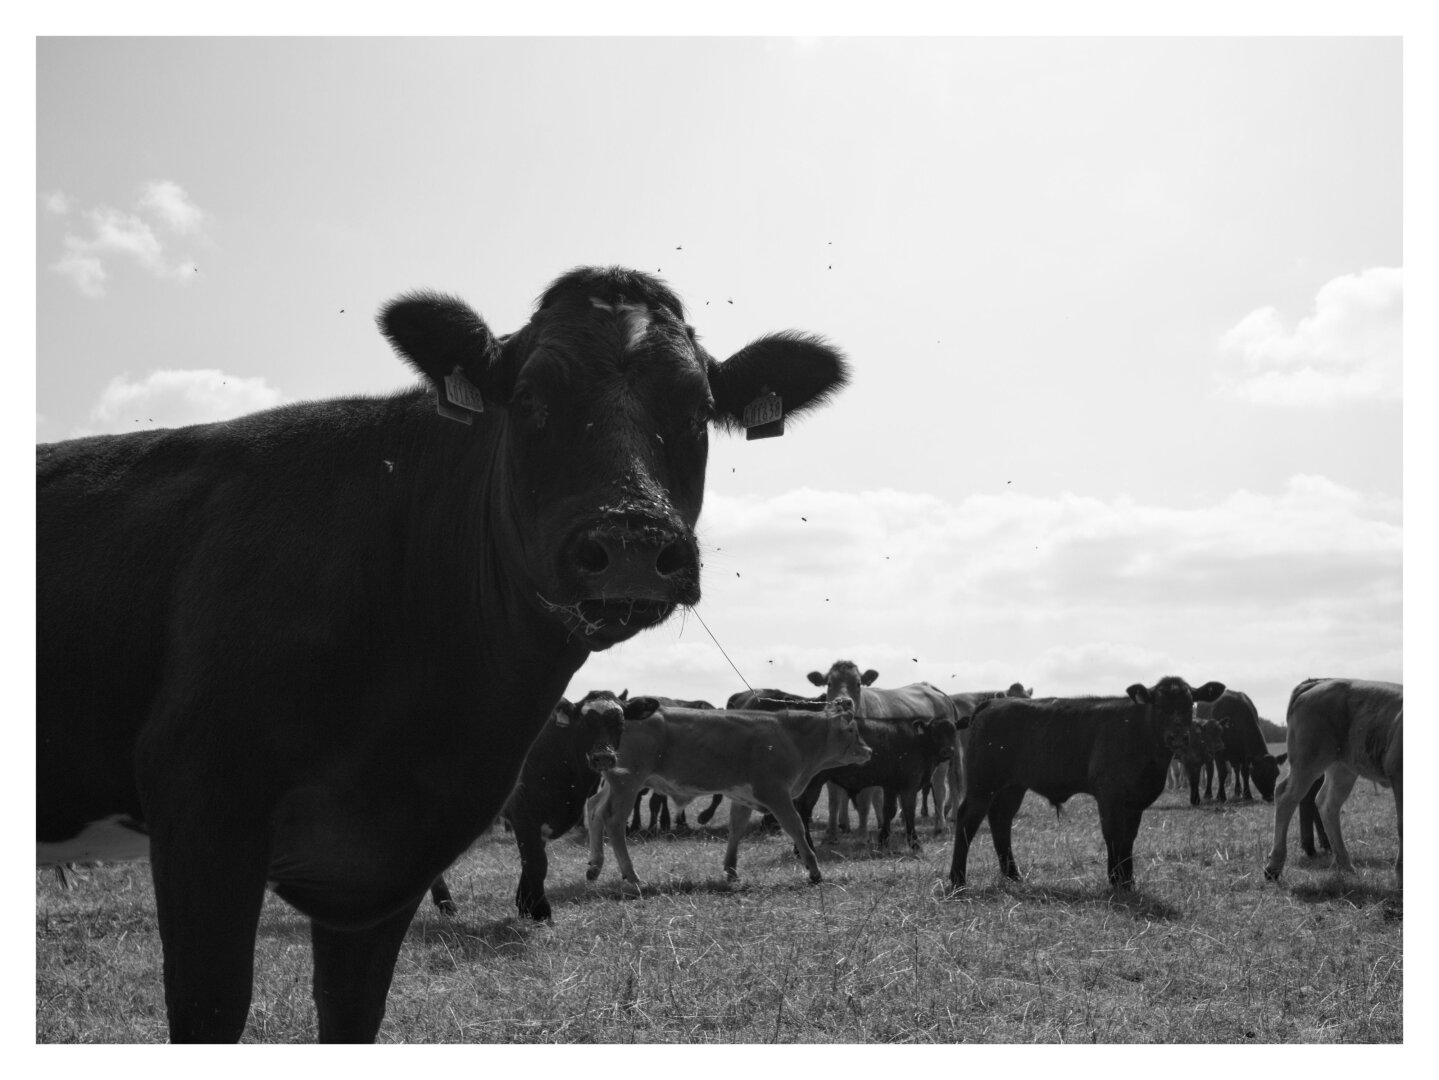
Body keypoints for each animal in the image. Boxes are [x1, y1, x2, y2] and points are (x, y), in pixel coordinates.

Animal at [427, 689, 634, 920]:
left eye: (620, 722)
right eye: (583, 722)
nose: (604, 757)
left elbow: (530, 862)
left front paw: (524, 906)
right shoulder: (524, 814)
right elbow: (536, 863)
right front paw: (540, 911)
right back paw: (445, 904)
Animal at [585, 700, 871, 886]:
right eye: (851, 730)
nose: (868, 750)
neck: (790, 736)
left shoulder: (742, 795)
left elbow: (736, 830)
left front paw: (731, 871)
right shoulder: (775, 793)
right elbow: (796, 826)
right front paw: (813, 869)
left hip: (614, 782)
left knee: (594, 808)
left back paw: (595, 866)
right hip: (628, 782)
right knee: (613, 820)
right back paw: (632, 876)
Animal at [949, 676, 1226, 891]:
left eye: (1190, 703)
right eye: (1158, 705)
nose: (1178, 736)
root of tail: (994, 702)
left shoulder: (1134, 802)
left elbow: (1128, 837)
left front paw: (1128, 880)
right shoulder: (1109, 795)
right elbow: (1113, 834)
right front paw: (1116, 879)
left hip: (1012, 787)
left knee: (1001, 820)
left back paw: (1013, 876)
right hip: (982, 783)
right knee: (968, 819)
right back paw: (958, 879)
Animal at [1264, 679, 1402, 885]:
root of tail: (1319, 682)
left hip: (1342, 767)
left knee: (1327, 803)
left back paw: (1346, 865)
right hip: (1308, 760)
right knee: (1285, 796)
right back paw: (1274, 867)